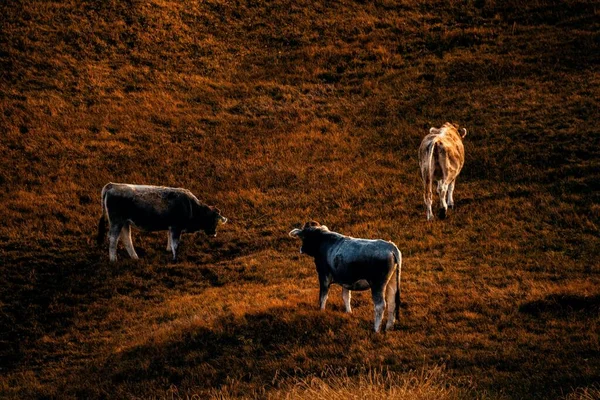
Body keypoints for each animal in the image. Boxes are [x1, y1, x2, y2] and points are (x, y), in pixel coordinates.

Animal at [96, 182, 227, 262]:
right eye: (214, 220)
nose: (214, 233)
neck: (191, 206)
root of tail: (112, 185)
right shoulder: (176, 227)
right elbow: (175, 243)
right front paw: (175, 258)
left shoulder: (172, 227)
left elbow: (170, 240)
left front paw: (168, 250)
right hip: (116, 222)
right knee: (113, 239)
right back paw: (113, 260)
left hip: (124, 223)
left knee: (126, 239)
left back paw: (135, 257)